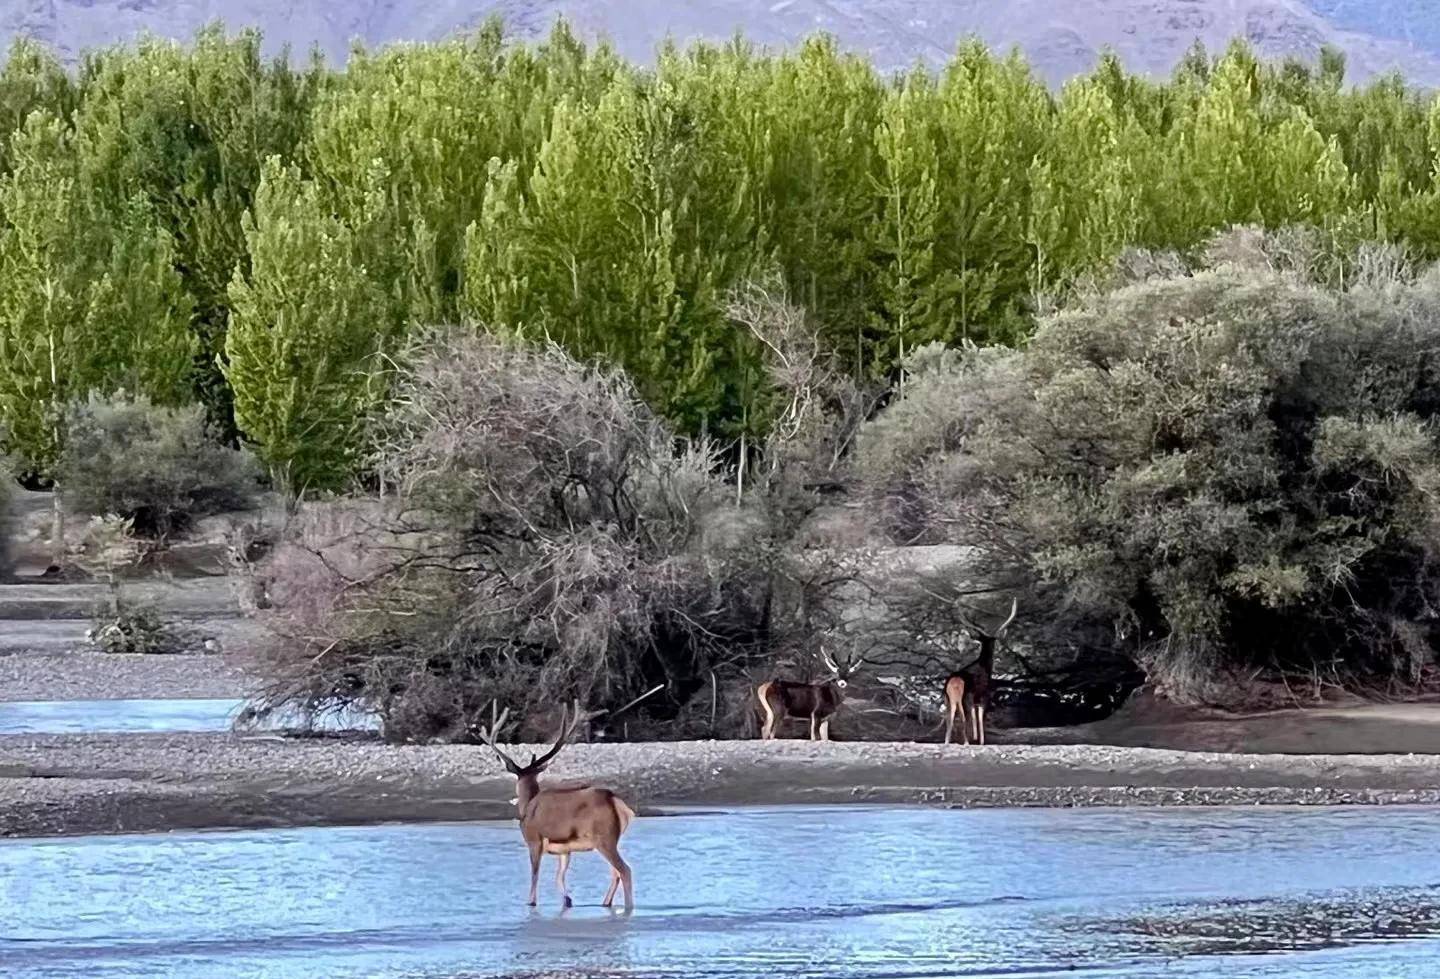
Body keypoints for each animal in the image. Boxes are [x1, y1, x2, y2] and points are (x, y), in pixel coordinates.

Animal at [478, 702, 636, 909]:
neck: (527, 806)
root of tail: (617, 803)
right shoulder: (565, 850)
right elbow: (559, 877)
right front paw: (567, 900)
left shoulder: (534, 839)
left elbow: (534, 876)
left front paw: (531, 902)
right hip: (611, 839)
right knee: (615, 872)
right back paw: (605, 903)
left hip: (604, 837)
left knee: (624, 870)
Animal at [938, 596, 1019, 748]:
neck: (985, 667)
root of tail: (954, 682)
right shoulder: (983, 695)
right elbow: (980, 718)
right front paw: (980, 741)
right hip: (965, 697)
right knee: (963, 717)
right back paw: (965, 742)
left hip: (947, 699)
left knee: (949, 719)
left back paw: (948, 741)